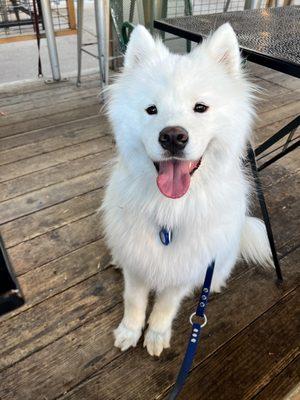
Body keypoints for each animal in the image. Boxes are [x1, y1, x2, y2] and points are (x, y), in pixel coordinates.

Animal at [101, 24, 272, 356]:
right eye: (151, 109)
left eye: (200, 108)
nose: (173, 137)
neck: (170, 208)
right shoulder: (138, 258)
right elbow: (134, 300)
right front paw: (129, 332)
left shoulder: (187, 263)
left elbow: (166, 305)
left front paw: (155, 335)